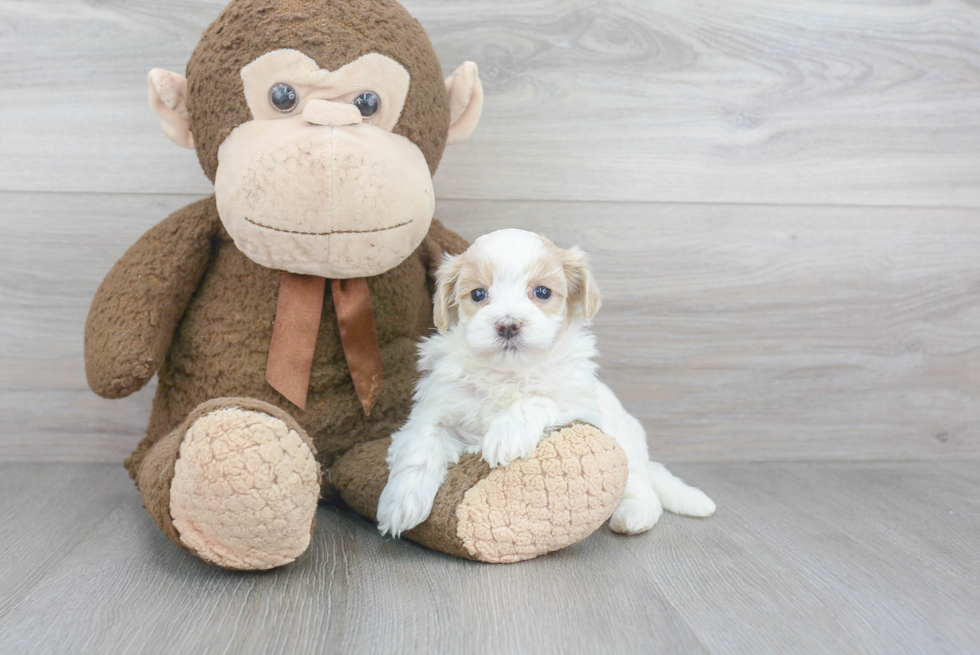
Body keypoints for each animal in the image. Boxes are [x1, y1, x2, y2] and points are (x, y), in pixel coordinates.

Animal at [376, 229, 712, 540]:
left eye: (541, 292)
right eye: (478, 295)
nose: (507, 325)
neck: (508, 373)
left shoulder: (580, 406)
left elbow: (539, 399)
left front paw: (507, 434)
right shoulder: (437, 407)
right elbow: (421, 445)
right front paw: (401, 503)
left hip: (626, 448)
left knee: (641, 489)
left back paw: (633, 515)